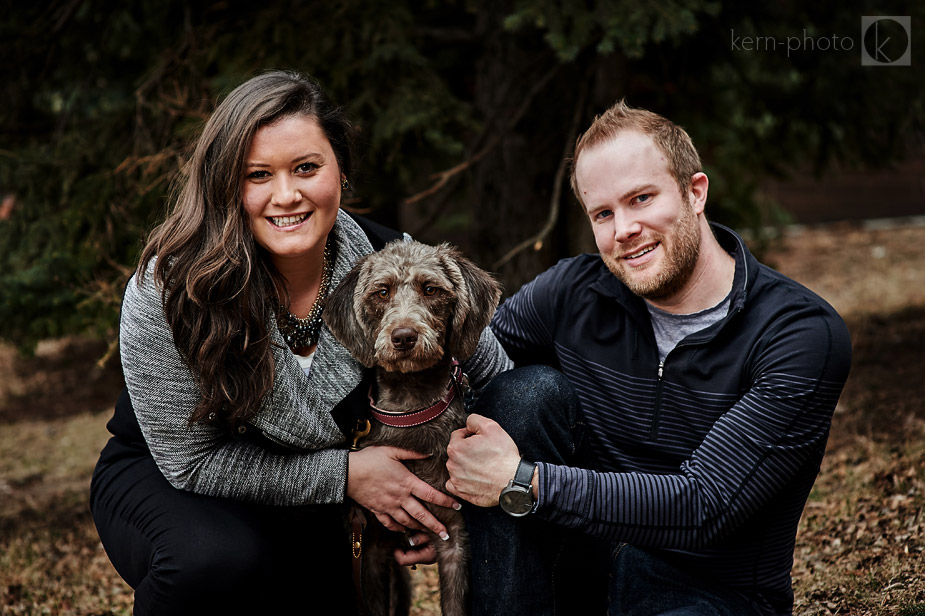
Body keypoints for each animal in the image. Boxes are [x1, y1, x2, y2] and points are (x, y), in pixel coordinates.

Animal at [322, 241, 502, 616]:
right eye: (382, 292)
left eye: (430, 289)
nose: (403, 336)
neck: (410, 408)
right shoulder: (369, 547)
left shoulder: (455, 540)